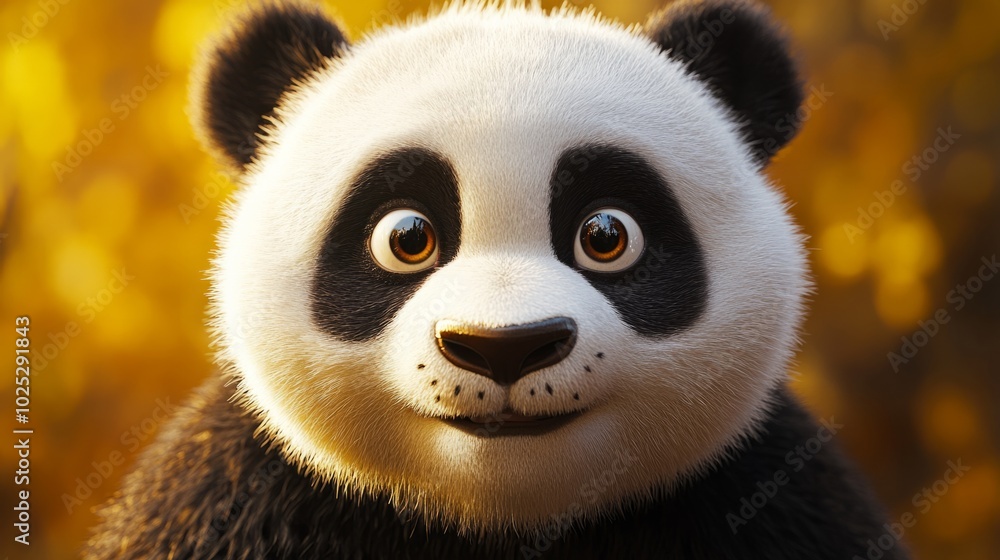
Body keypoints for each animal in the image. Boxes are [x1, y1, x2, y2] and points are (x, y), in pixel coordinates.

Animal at [88, 1, 909, 559]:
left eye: (606, 236)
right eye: (407, 237)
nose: (504, 347)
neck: (501, 517)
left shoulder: (776, 501)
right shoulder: (234, 500)